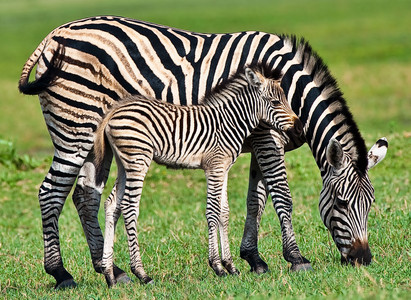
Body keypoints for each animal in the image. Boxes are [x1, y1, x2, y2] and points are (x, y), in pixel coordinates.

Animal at [93, 65, 302, 286]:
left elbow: (224, 212)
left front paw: (230, 266)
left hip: (124, 163)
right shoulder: (214, 167)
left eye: (287, 100)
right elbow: (212, 211)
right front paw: (217, 266)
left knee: (112, 204)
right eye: (275, 102)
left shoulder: (224, 168)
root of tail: (115, 109)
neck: (229, 122)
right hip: (138, 159)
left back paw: (110, 275)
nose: (299, 127)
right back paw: (141, 273)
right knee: (129, 208)